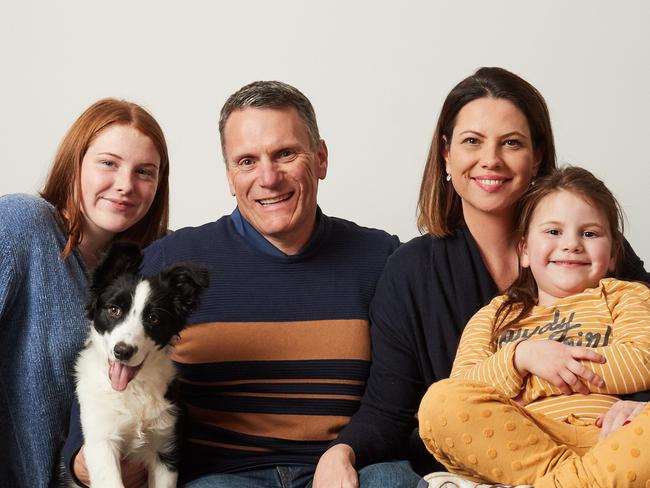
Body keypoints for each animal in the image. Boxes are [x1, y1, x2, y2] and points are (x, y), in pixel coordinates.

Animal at [75, 242, 208, 486]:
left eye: (153, 318)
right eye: (114, 309)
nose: (122, 351)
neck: (133, 389)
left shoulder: (165, 447)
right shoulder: (101, 442)